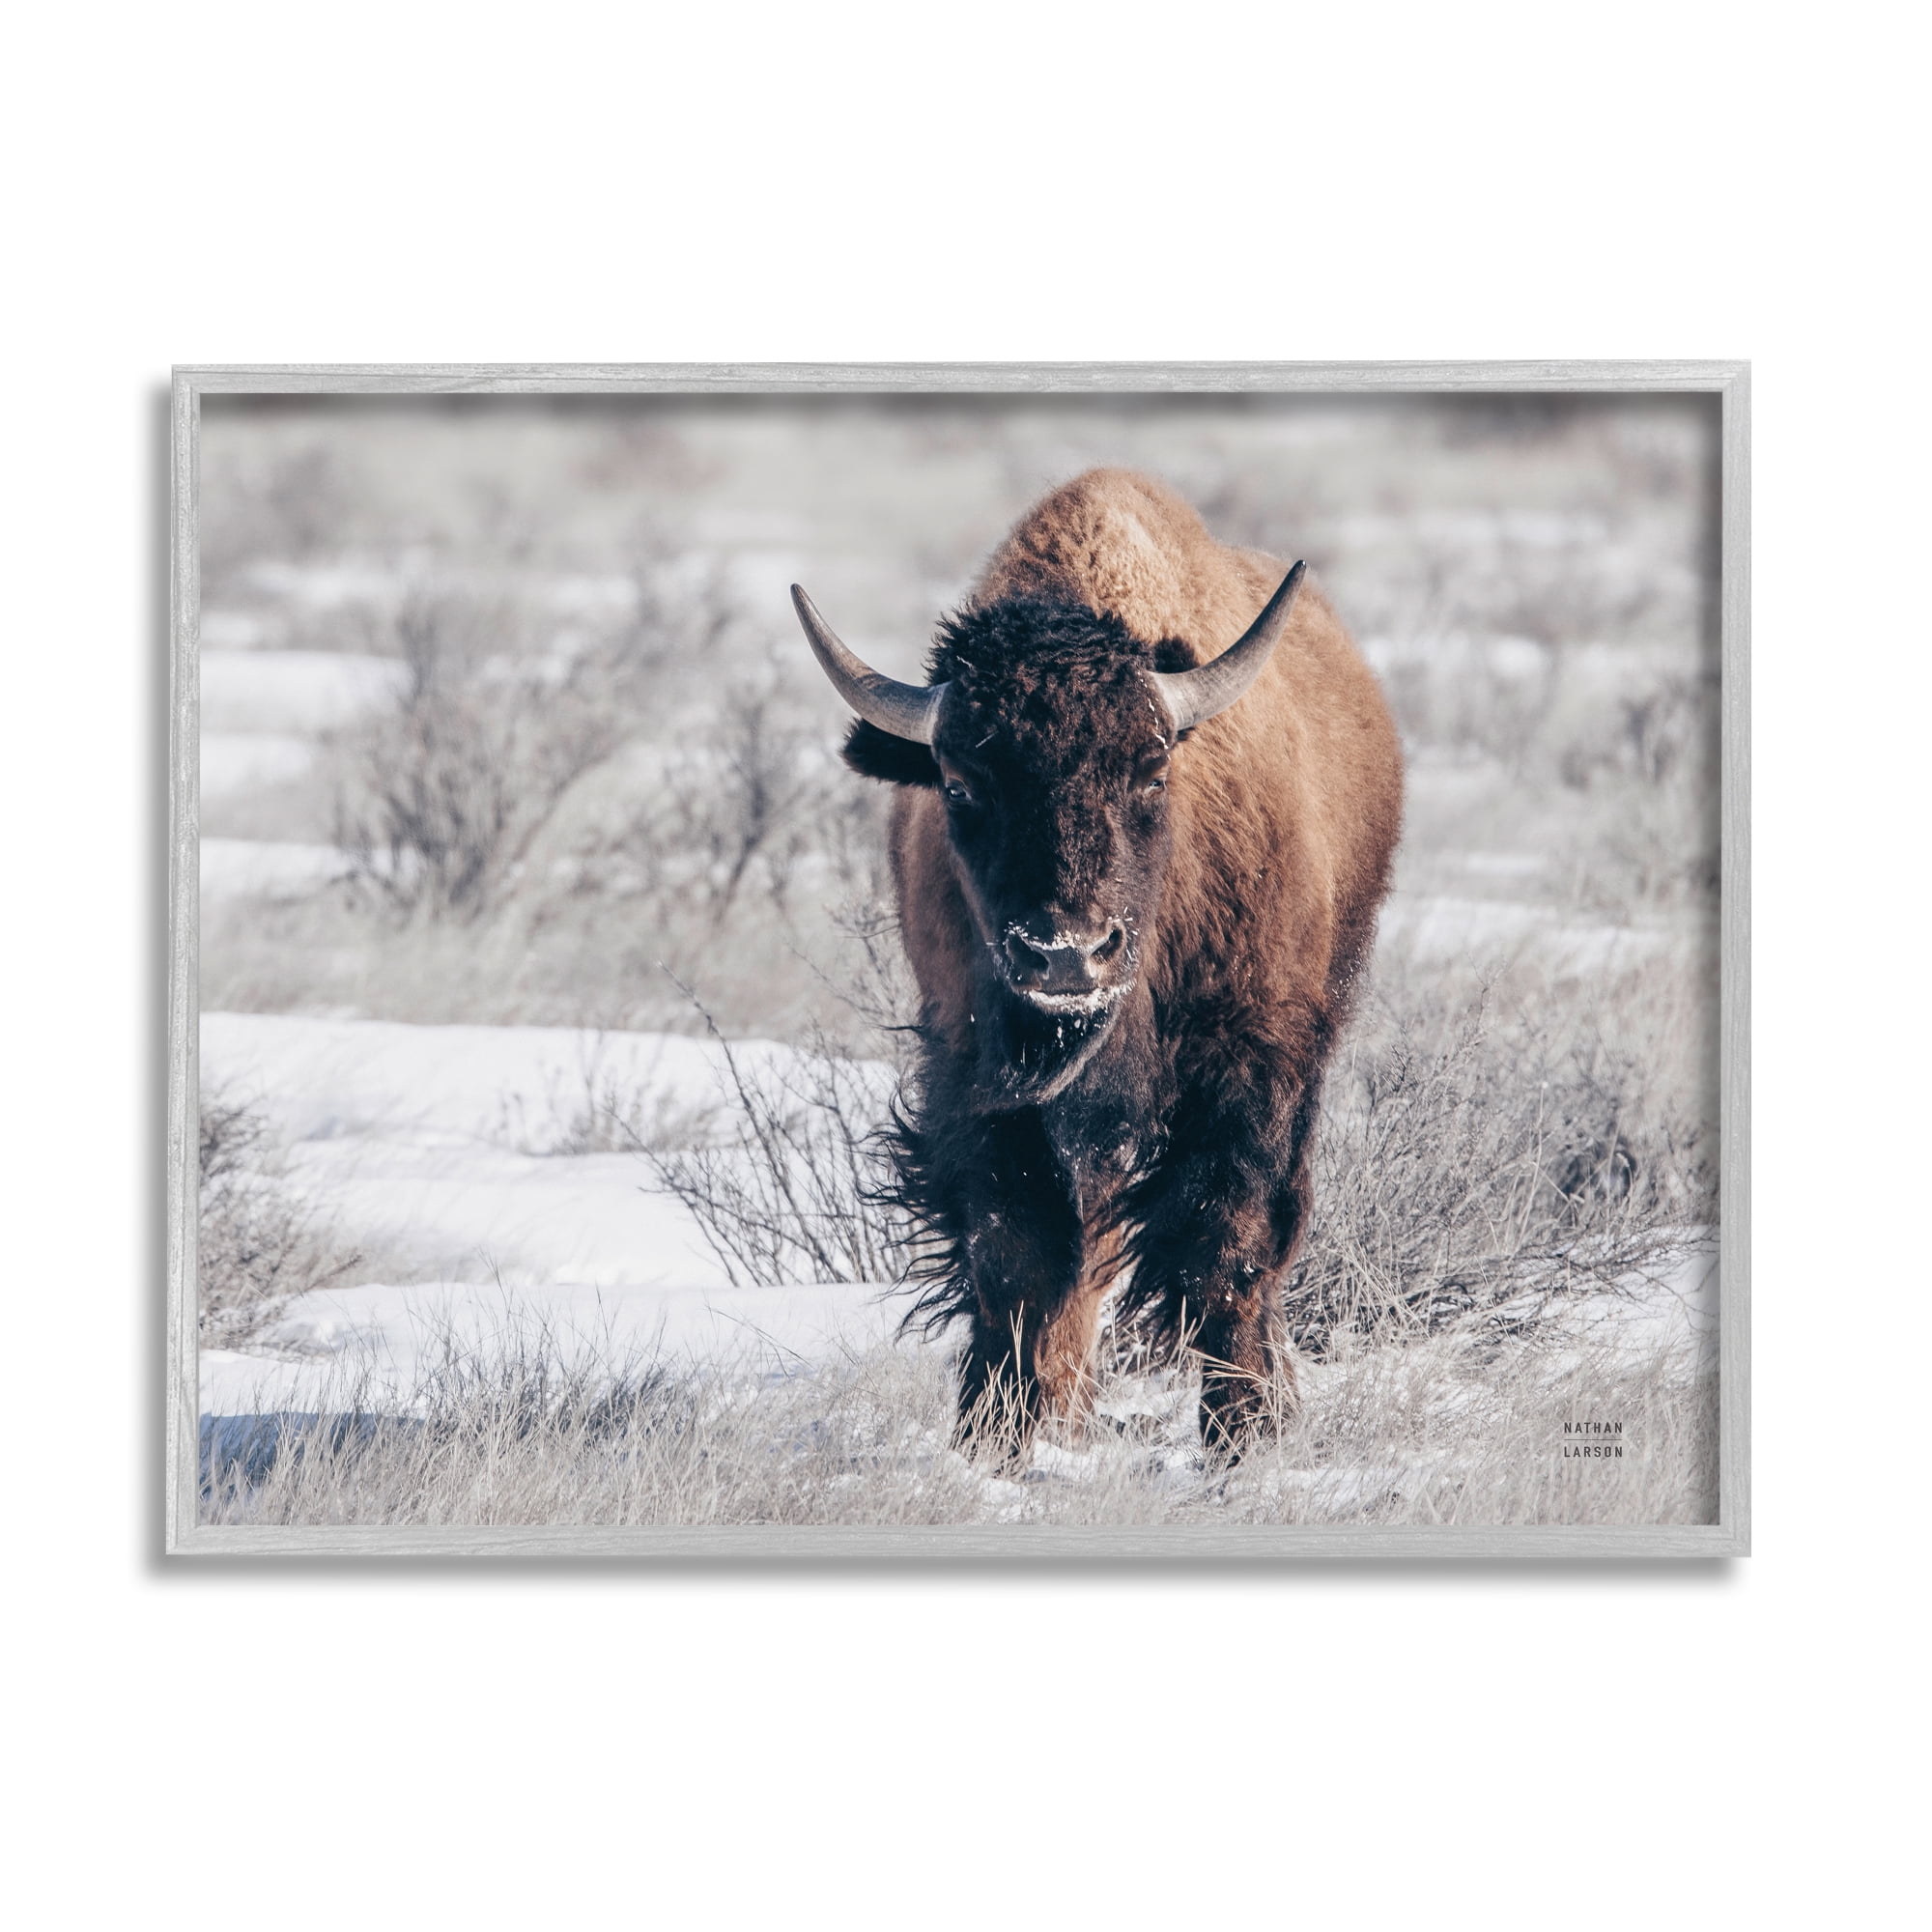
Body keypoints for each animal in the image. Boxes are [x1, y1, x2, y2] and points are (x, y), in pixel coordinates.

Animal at [793, 468, 1403, 1452]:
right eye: (959, 787)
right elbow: (1015, 1253)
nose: (1066, 956)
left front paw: (1244, 1435)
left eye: (1151, 774)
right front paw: (994, 1436)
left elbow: (1228, 1241)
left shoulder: (1254, 1058)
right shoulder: (976, 1072)